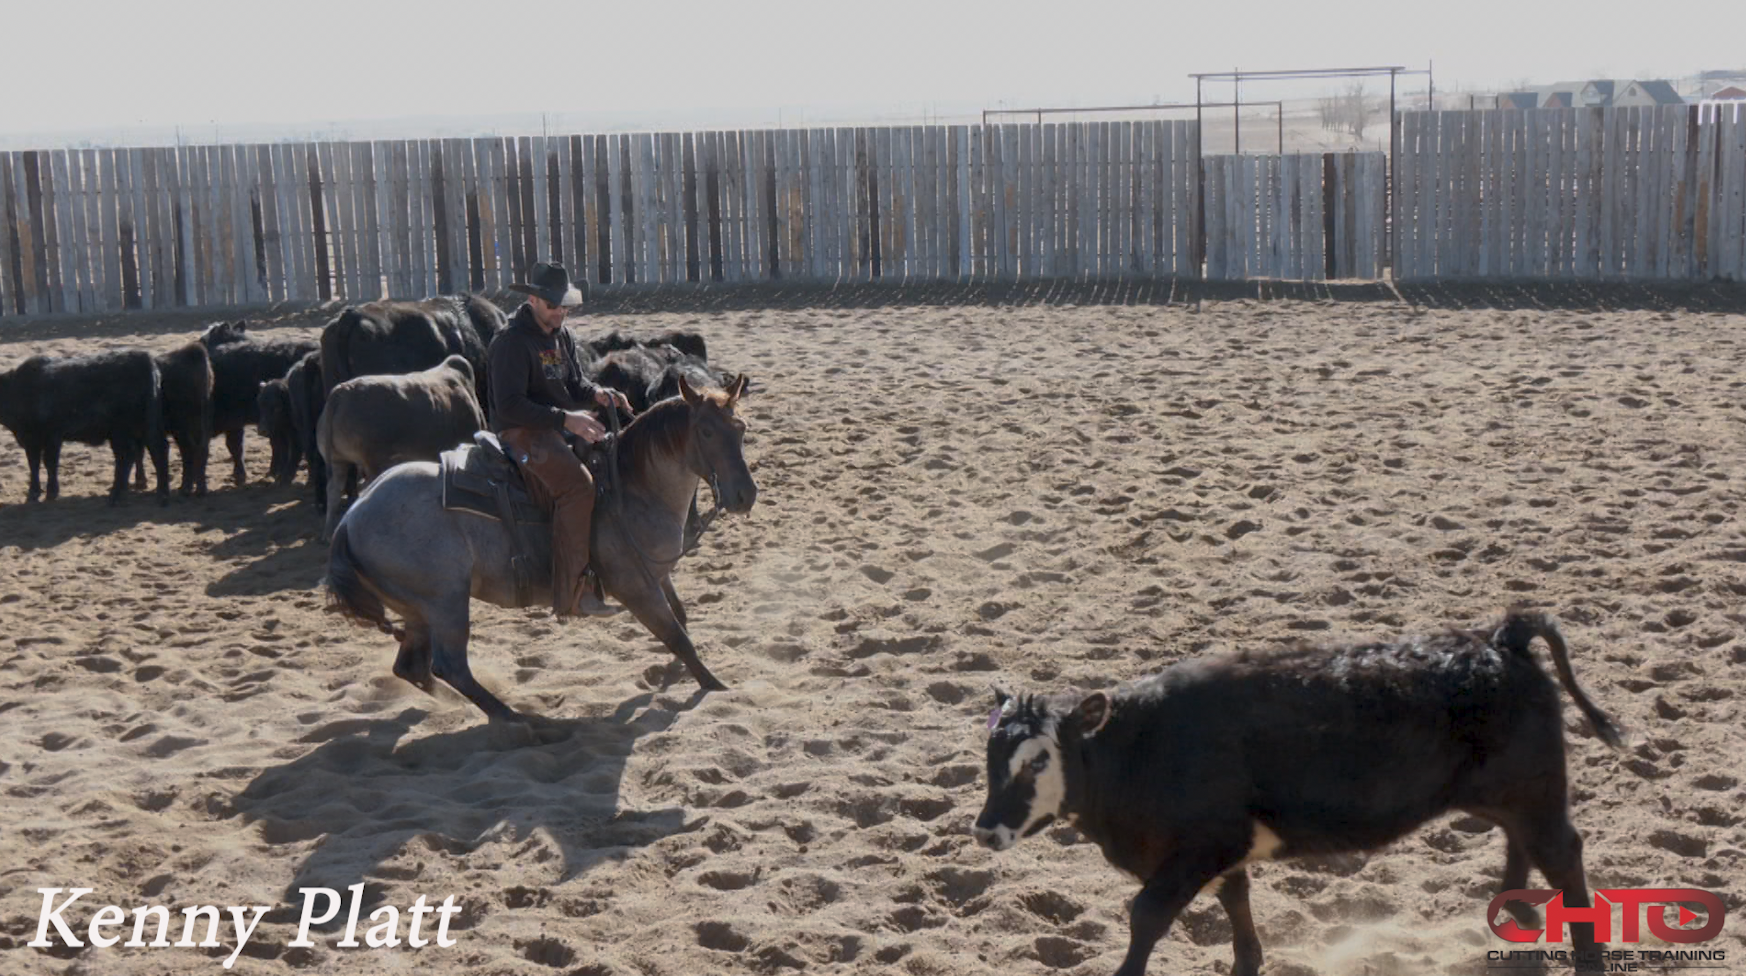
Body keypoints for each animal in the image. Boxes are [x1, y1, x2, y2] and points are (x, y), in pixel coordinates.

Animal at [0, 349, 170, 504]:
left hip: (122, 431)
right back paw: (157, 491)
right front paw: (37, 491)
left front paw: (49, 491)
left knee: (129, 455)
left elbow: (47, 462)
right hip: (143, 426)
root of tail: (143, 358)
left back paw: (118, 494)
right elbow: (36, 463)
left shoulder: (49, 436)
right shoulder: (33, 439)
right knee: (154, 449)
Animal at [324, 374, 756, 728]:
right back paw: (517, 721)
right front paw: (716, 686)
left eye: (740, 428)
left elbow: (679, 621)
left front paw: (676, 674)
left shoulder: (656, 575)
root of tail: (350, 518)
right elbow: (676, 635)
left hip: (417, 610)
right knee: (450, 666)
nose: (744, 495)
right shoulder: (633, 586)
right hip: (445, 602)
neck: (633, 487)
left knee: (411, 667)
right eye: (705, 431)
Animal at [974, 610, 1625, 976]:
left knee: (1562, 855)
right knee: (1521, 843)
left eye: (1036, 762)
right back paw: (1515, 913)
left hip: (1535, 791)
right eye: (989, 758)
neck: (1144, 746)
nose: (984, 830)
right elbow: (1235, 902)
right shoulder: (1221, 852)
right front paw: (1248, 964)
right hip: (1511, 794)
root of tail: (1500, 641)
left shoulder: (1200, 847)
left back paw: (1585, 960)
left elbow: (1148, 916)